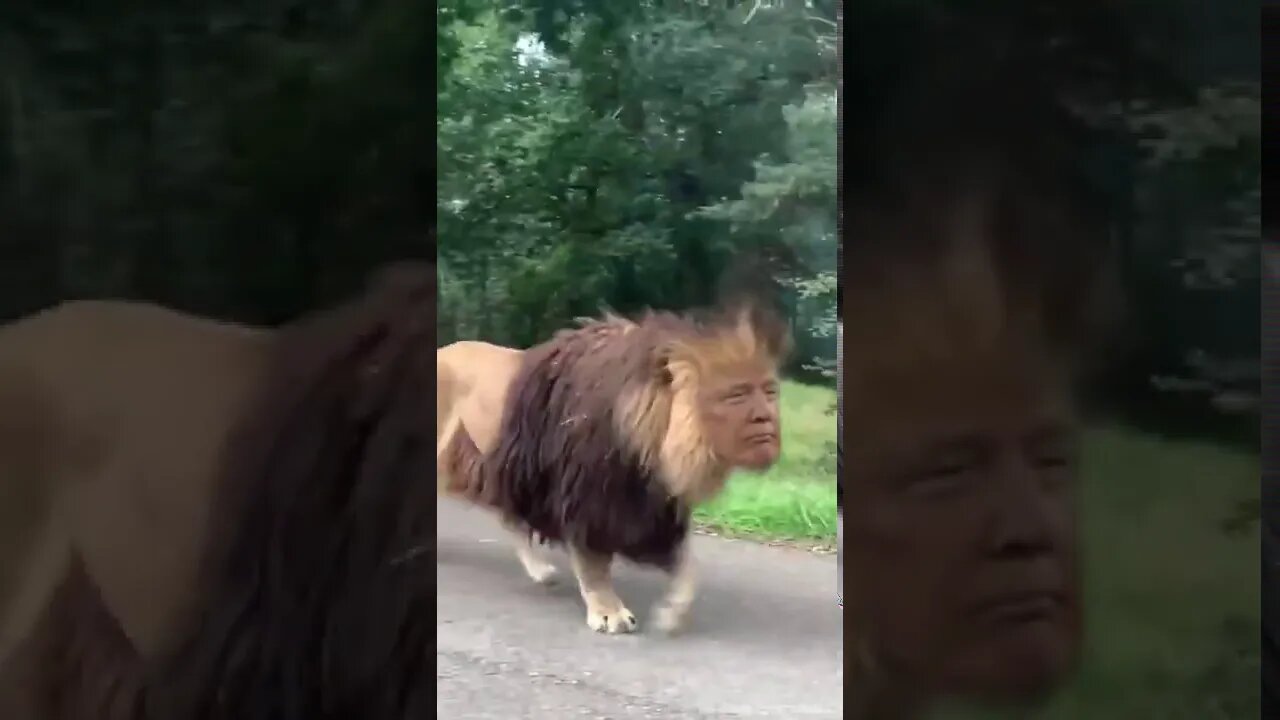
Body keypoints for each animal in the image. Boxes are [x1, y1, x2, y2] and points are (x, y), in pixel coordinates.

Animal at [440, 302, 788, 632]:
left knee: (510, 517)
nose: (766, 420)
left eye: (770, 391)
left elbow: (689, 569)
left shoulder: (654, 512)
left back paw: (541, 572)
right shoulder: (587, 498)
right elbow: (592, 563)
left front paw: (671, 614)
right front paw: (610, 613)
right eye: (737, 394)